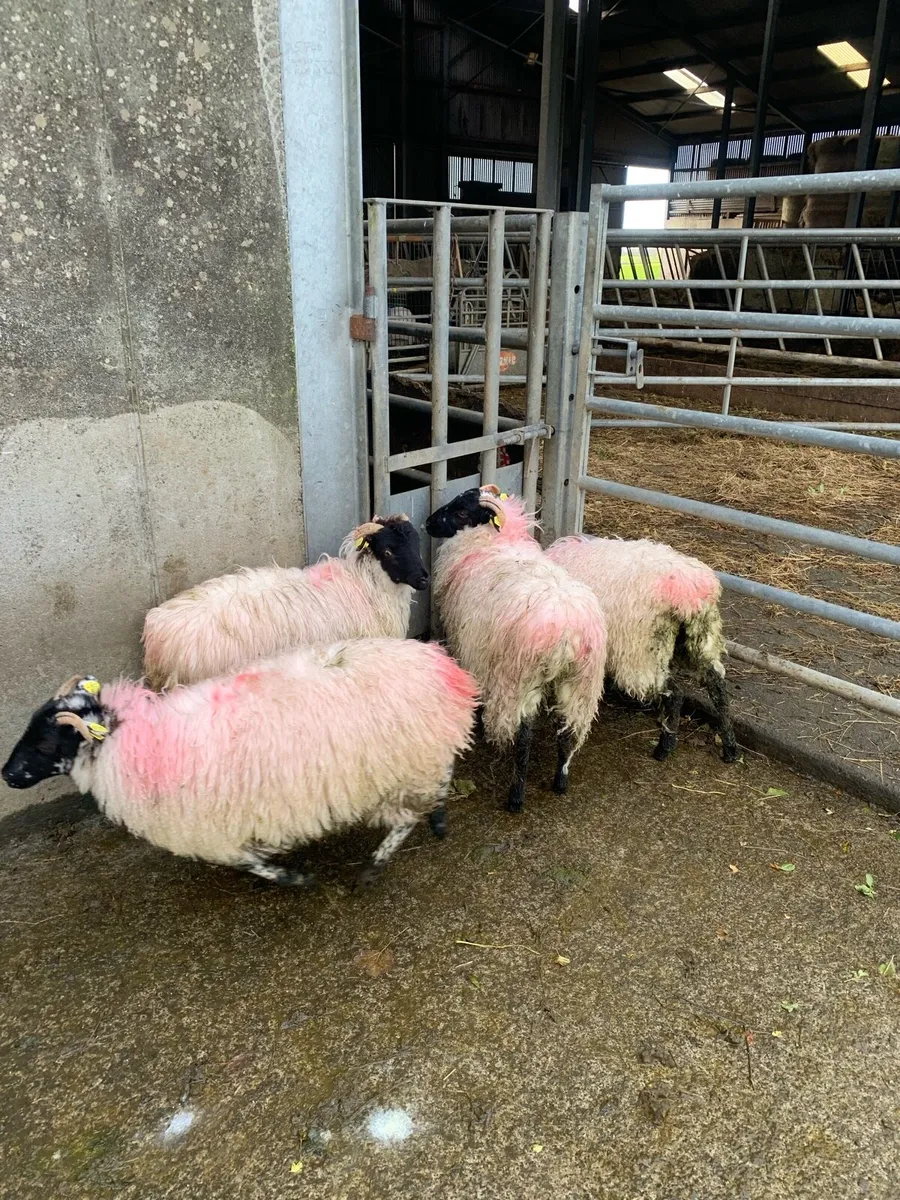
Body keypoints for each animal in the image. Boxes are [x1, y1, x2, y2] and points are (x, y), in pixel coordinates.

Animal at [1, 640, 478, 887]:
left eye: (45, 742)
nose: (6, 774)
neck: (138, 738)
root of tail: (441, 665)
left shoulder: (215, 829)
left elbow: (251, 862)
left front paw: (293, 879)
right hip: (423, 756)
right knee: (439, 782)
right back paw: (438, 818)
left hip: (403, 767)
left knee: (405, 818)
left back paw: (374, 867)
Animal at [425, 486, 607, 813]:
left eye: (462, 512)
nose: (428, 523)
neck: (494, 541)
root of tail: (567, 634)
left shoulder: (472, 647)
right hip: (579, 683)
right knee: (568, 732)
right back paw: (560, 781)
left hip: (520, 681)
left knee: (524, 739)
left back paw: (515, 796)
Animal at [546, 535, 737, 763]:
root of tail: (689, 590)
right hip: (700, 638)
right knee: (717, 686)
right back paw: (730, 747)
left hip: (642, 650)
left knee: (675, 693)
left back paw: (665, 747)